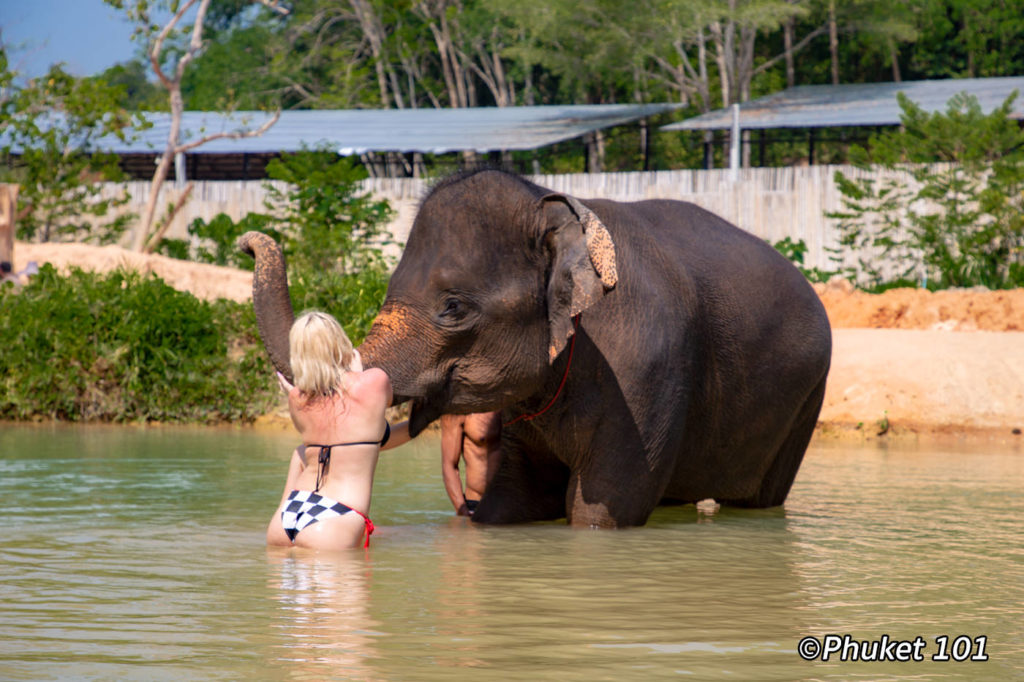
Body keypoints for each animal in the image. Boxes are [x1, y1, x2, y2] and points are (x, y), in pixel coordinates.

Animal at [239, 166, 831, 528]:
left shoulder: (647, 370)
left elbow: (599, 510)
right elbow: (513, 500)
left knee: (757, 500)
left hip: (804, 403)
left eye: (452, 306)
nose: (247, 241)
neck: (554, 209)